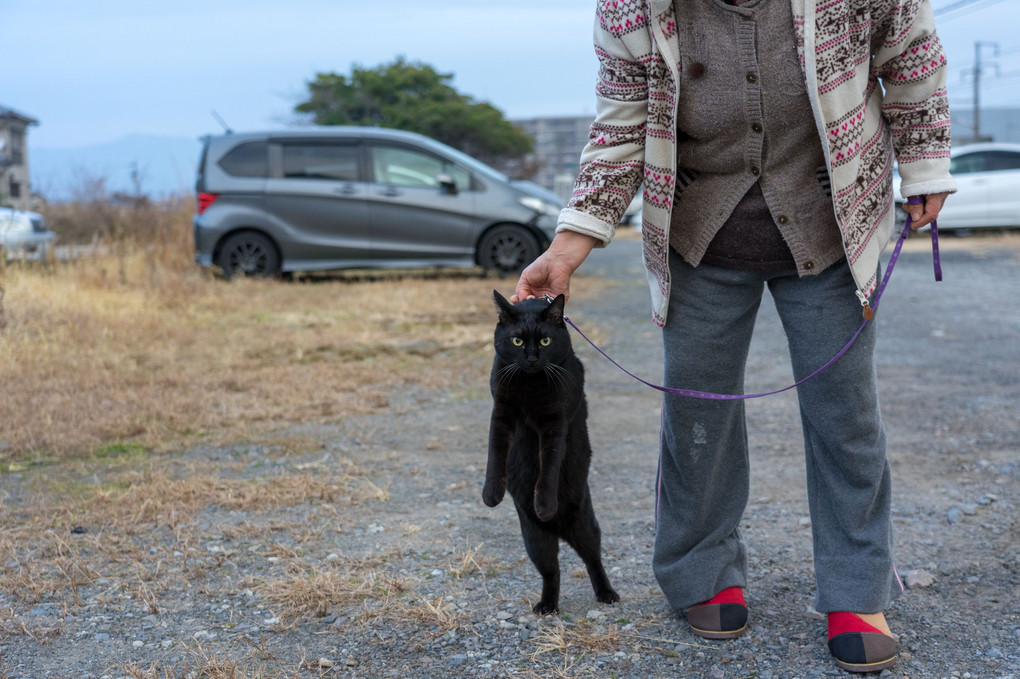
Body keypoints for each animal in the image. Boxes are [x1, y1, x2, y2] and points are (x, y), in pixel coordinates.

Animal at [481, 291, 616, 611]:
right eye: (517, 340)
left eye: (545, 341)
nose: (531, 358)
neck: (530, 382)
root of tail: (557, 529)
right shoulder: (501, 412)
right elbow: (495, 453)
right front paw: (491, 494)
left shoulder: (556, 422)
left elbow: (550, 466)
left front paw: (544, 503)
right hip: (534, 539)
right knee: (551, 571)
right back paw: (547, 607)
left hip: (585, 524)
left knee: (593, 559)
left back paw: (606, 594)